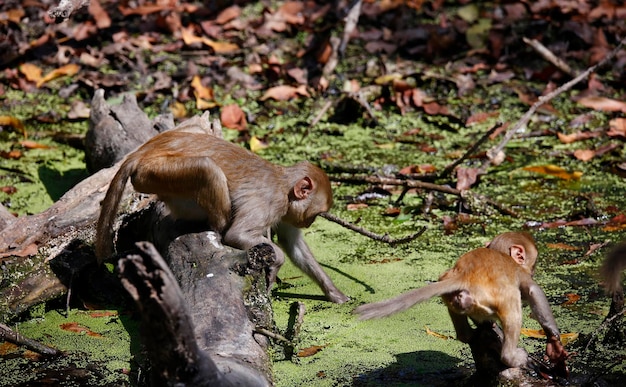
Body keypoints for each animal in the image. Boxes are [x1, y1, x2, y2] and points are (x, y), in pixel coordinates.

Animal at [95, 126, 348, 304]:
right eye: (316, 214)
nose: (309, 223)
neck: (284, 186)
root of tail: (142, 152)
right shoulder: (270, 202)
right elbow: (237, 235)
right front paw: (276, 261)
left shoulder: (285, 211)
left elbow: (293, 245)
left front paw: (335, 293)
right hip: (154, 173)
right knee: (208, 169)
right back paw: (217, 230)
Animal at [356, 233, 564, 370]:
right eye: (533, 265)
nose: (533, 271)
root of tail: (465, 275)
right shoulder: (520, 272)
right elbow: (533, 291)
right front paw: (554, 342)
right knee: (513, 311)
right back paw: (511, 358)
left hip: (452, 290)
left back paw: (470, 333)